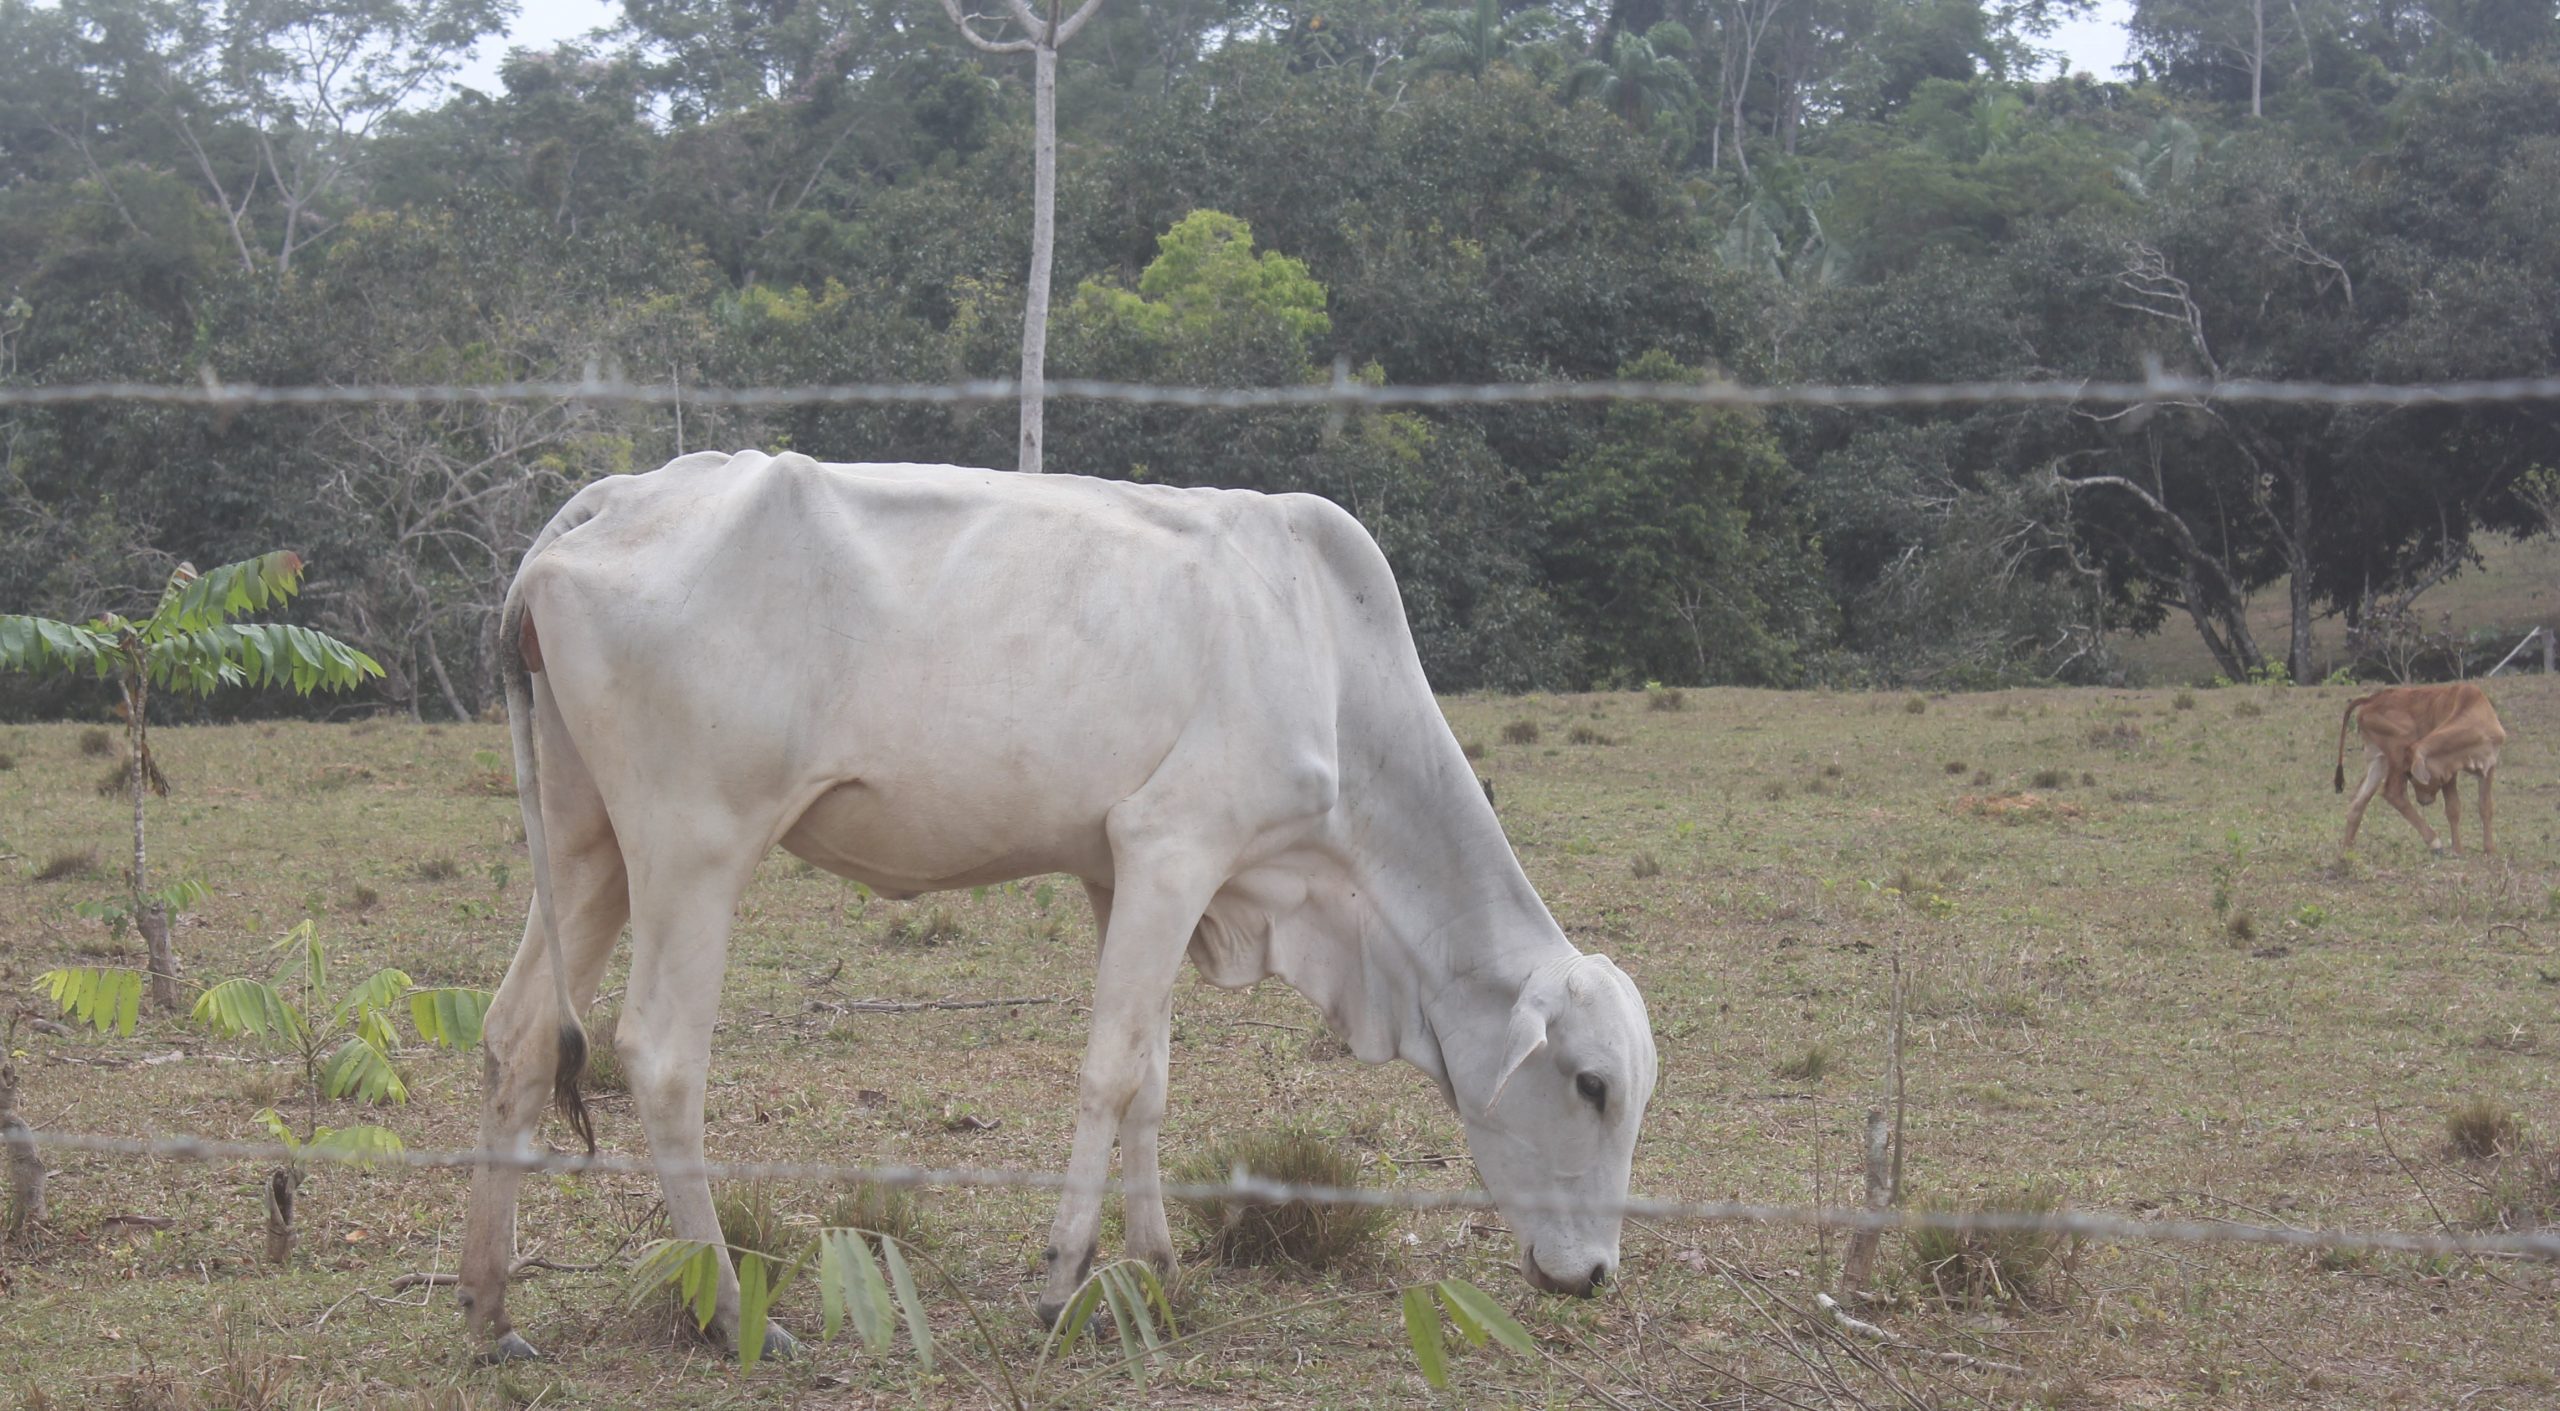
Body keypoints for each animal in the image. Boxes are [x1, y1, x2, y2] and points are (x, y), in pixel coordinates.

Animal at [458, 450, 1658, 1362]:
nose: (1596, 1274)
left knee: (518, 1033)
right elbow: (1111, 1069)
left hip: (586, 841)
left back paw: (490, 1309)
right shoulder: (1174, 845)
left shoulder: (1118, 872)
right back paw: (724, 1312)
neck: (1327, 661)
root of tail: (614, 498)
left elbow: (1155, 1077)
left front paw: (1158, 1264)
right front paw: (1060, 1276)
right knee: (660, 1054)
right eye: (1591, 1084)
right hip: (692, 846)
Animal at [2344, 681, 2498, 855]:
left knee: (2358, 801)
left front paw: (2489, 849)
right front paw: (2457, 850)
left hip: (2379, 759)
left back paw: (2345, 853)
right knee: (2393, 793)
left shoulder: (2489, 766)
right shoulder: (2449, 772)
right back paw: (2434, 842)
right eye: (2410, 775)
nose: (2422, 801)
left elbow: (2486, 807)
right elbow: (2453, 809)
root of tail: (2371, 700)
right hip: (2401, 743)